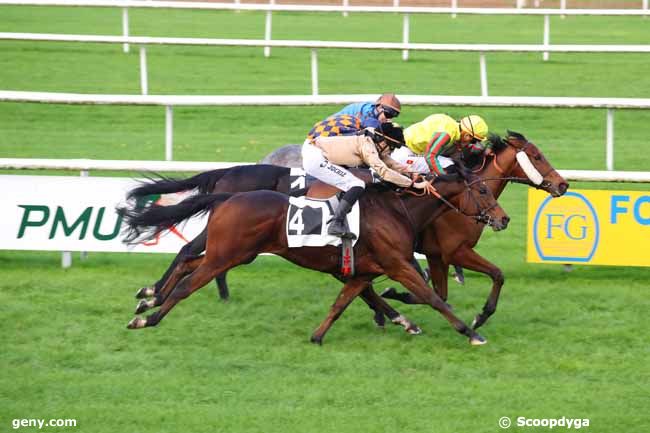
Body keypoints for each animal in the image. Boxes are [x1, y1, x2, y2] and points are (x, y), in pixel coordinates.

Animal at [120, 174, 506, 346]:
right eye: (482, 189)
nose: (503, 219)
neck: (398, 209)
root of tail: (229, 196)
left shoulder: (364, 271)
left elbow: (342, 302)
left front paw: (317, 337)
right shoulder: (398, 265)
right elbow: (433, 298)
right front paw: (472, 332)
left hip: (231, 254)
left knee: (188, 263)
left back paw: (149, 299)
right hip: (227, 254)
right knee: (186, 284)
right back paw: (148, 317)